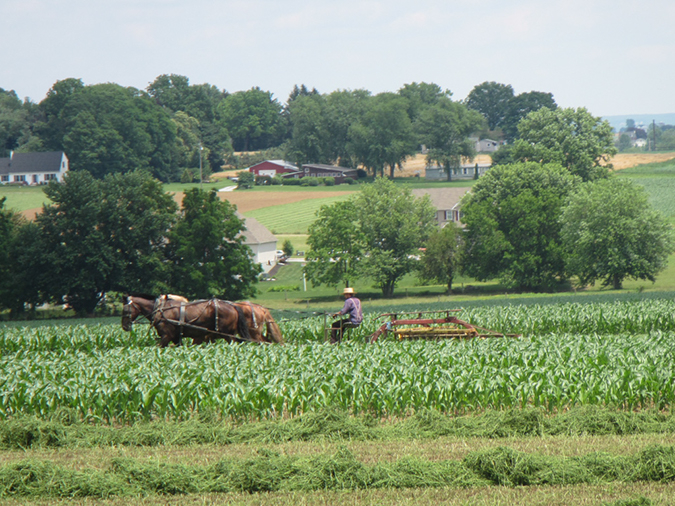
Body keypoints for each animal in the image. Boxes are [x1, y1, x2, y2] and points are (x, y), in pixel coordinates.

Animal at [121, 294, 251, 346]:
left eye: (126, 310)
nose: (124, 326)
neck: (160, 310)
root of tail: (233, 306)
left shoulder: (166, 336)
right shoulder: (175, 338)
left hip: (227, 334)